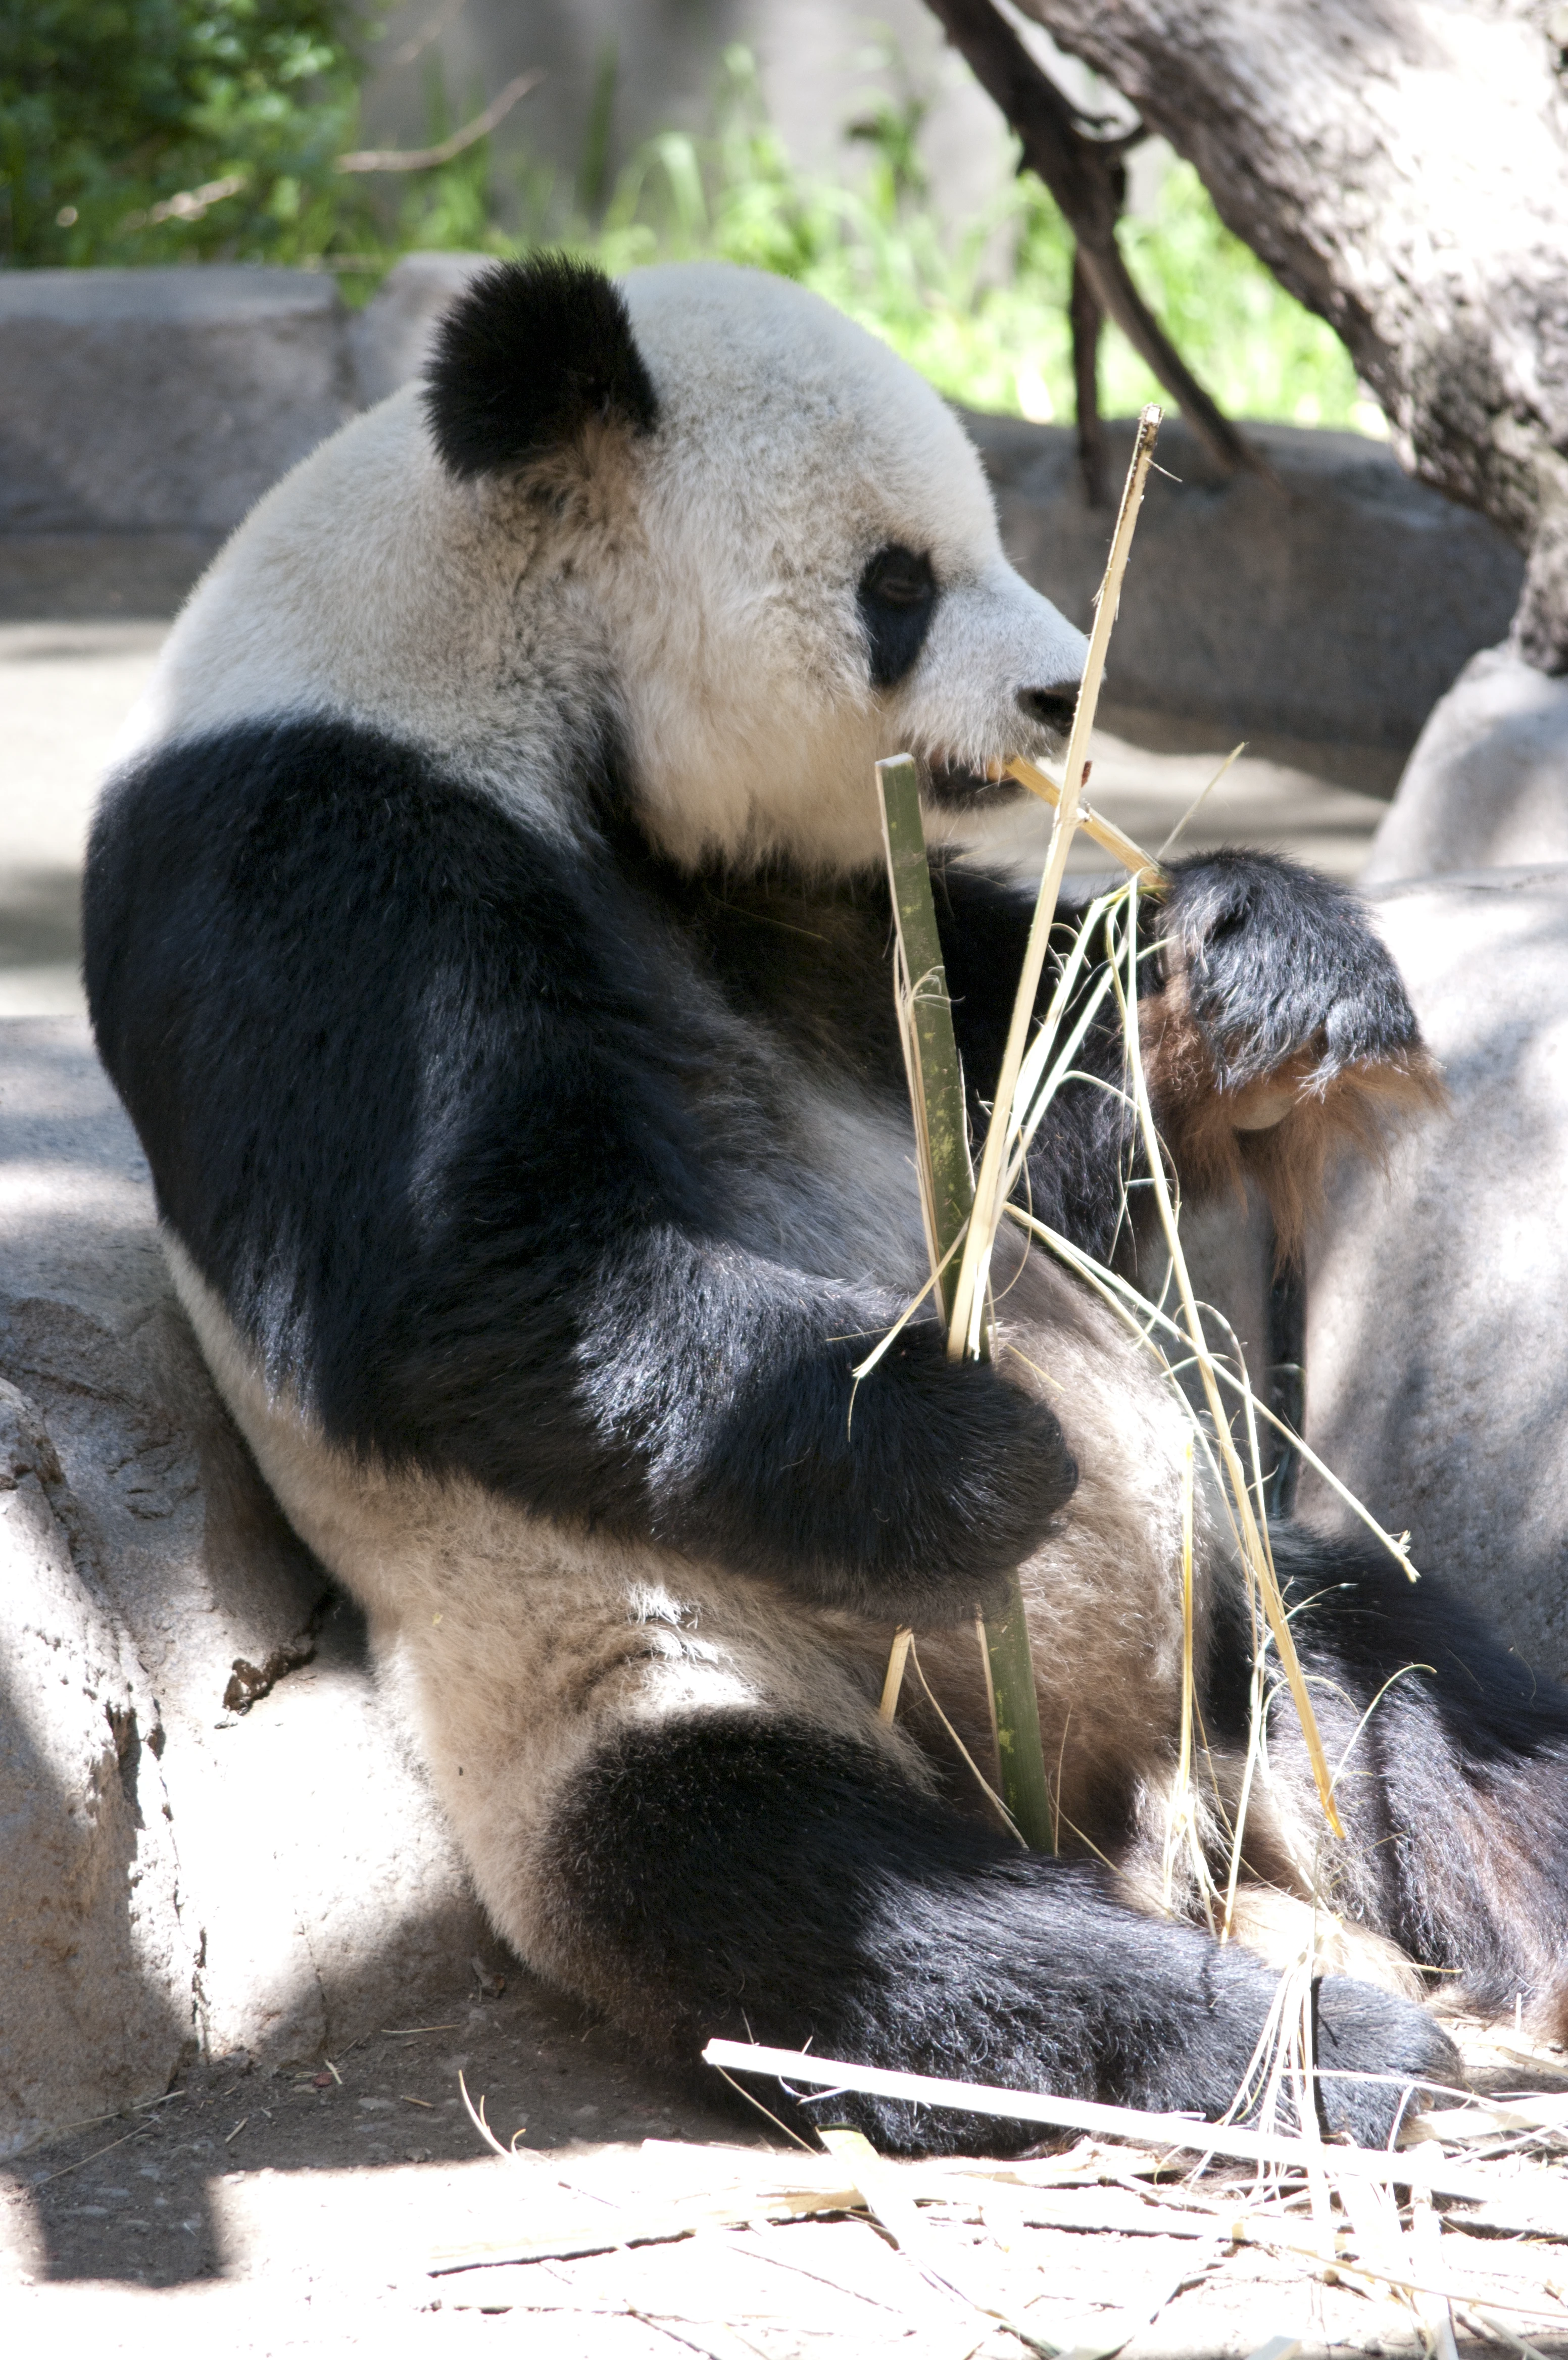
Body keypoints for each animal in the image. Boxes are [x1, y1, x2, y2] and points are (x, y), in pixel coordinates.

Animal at [84, 255, 1568, 2154]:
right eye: (898, 585)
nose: (1059, 694)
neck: (483, 642)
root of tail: (1115, 1811)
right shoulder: (318, 846)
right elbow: (473, 1278)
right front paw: (985, 1453)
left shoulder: (805, 900)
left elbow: (1022, 1075)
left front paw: (1260, 971)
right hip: (641, 1675)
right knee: (820, 1902)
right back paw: (1302, 2046)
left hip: (1228, 1609)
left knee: (1402, 1683)